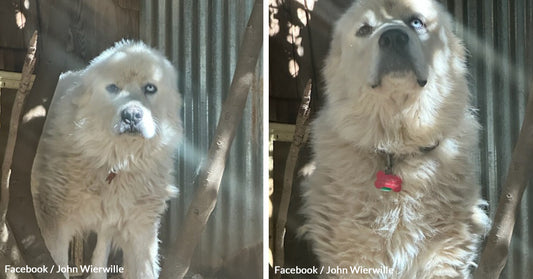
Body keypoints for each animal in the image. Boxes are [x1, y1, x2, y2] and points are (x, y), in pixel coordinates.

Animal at [33, 40, 183, 278]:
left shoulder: (140, 229)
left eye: (150, 88)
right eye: (113, 88)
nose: (131, 116)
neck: (117, 161)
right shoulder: (55, 222)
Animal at [300, 1, 490, 278]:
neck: (396, 146)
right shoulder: (356, 255)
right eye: (365, 29)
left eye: (416, 22)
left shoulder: (445, 253)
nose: (393, 37)